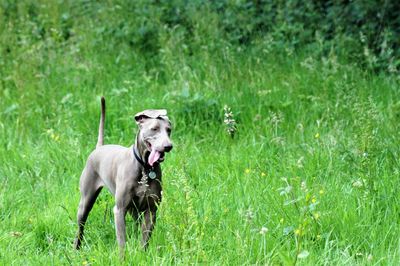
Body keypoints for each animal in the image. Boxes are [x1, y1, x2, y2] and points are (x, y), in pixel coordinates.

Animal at [74, 96, 173, 250]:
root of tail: (99, 148)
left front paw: (141, 253)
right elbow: (122, 240)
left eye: (169, 130)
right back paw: (76, 249)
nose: (168, 146)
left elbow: (144, 240)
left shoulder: (151, 210)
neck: (145, 168)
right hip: (86, 201)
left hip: (134, 210)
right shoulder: (120, 210)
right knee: (80, 226)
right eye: (154, 129)